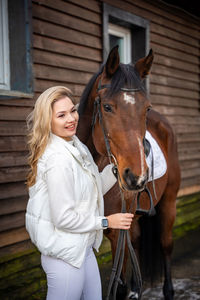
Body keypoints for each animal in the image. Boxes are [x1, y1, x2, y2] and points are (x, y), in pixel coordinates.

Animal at [77, 45, 181, 300]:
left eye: (147, 108)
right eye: (106, 107)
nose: (137, 176)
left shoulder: (116, 234)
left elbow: (119, 286)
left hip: (168, 202)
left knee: (165, 244)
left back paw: (168, 291)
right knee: (136, 242)